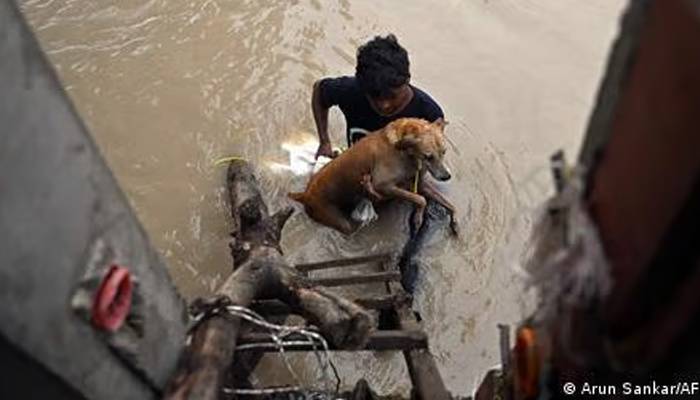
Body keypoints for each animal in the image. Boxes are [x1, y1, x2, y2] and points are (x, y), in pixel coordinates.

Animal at [288, 119, 456, 236]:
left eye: (444, 152)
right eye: (428, 156)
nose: (447, 176)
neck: (403, 149)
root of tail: (304, 194)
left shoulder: (418, 184)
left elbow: (448, 203)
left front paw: (454, 222)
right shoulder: (383, 185)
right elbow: (421, 199)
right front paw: (418, 218)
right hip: (336, 218)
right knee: (354, 226)